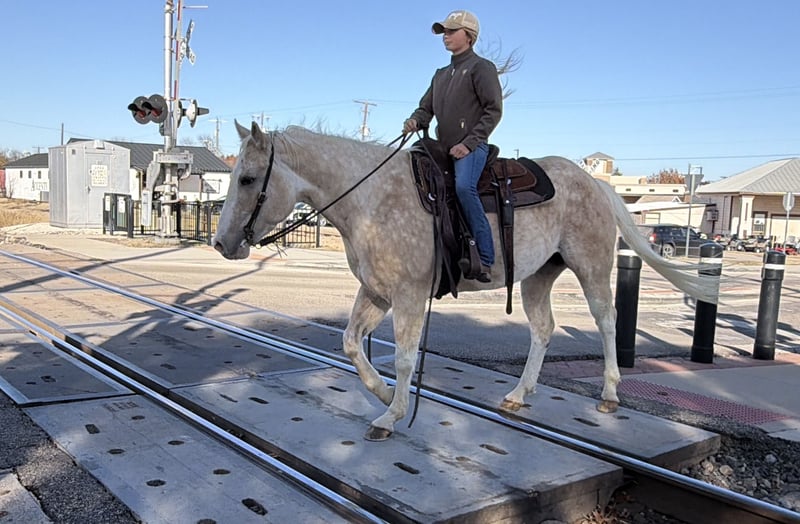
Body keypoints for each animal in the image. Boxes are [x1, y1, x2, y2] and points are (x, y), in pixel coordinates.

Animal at [213, 121, 718, 441]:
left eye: (249, 179)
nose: (220, 243)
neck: (370, 199)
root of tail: (596, 184)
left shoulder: (409, 295)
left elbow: (404, 359)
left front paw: (393, 415)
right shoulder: (376, 292)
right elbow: (352, 344)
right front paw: (382, 395)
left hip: (591, 267)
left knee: (607, 321)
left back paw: (610, 393)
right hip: (537, 277)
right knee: (543, 329)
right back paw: (518, 394)